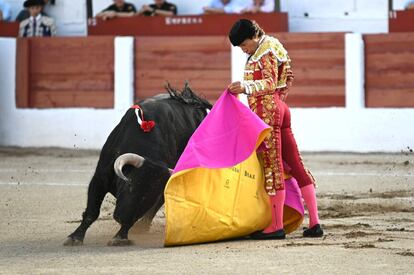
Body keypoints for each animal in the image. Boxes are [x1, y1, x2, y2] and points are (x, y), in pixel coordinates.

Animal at [64, 85, 213, 247]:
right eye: (130, 186)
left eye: (147, 197)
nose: (121, 218)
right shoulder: (99, 178)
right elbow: (92, 211)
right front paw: (75, 237)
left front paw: (120, 237)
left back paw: (142, 227)